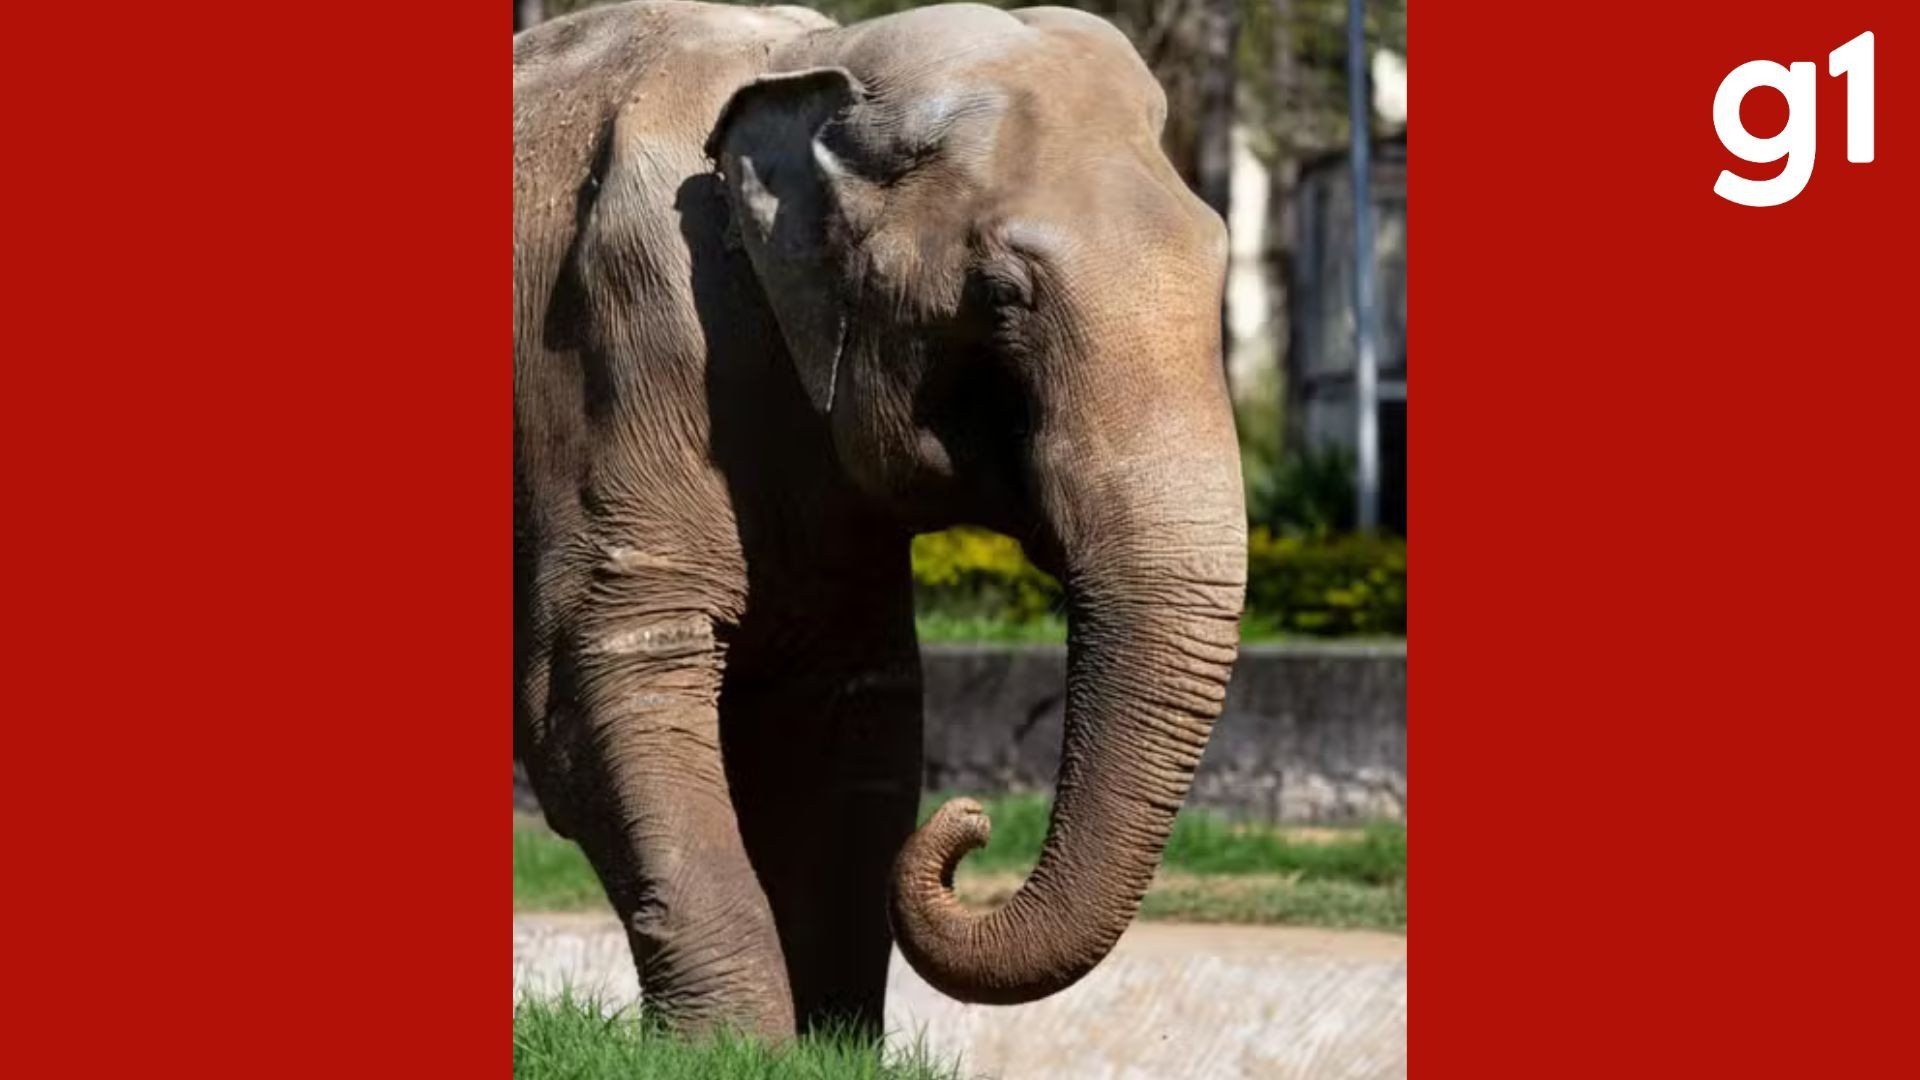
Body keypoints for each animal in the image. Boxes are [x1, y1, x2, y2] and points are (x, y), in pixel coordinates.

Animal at [513, 0, 1247, 1040]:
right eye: (1001, 298)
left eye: (1221, 265)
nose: (972, 822)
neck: (813, 62)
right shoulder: (613, 348)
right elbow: (600, 675)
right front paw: (729, 1045)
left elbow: (854, 704)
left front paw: (827, 1044)